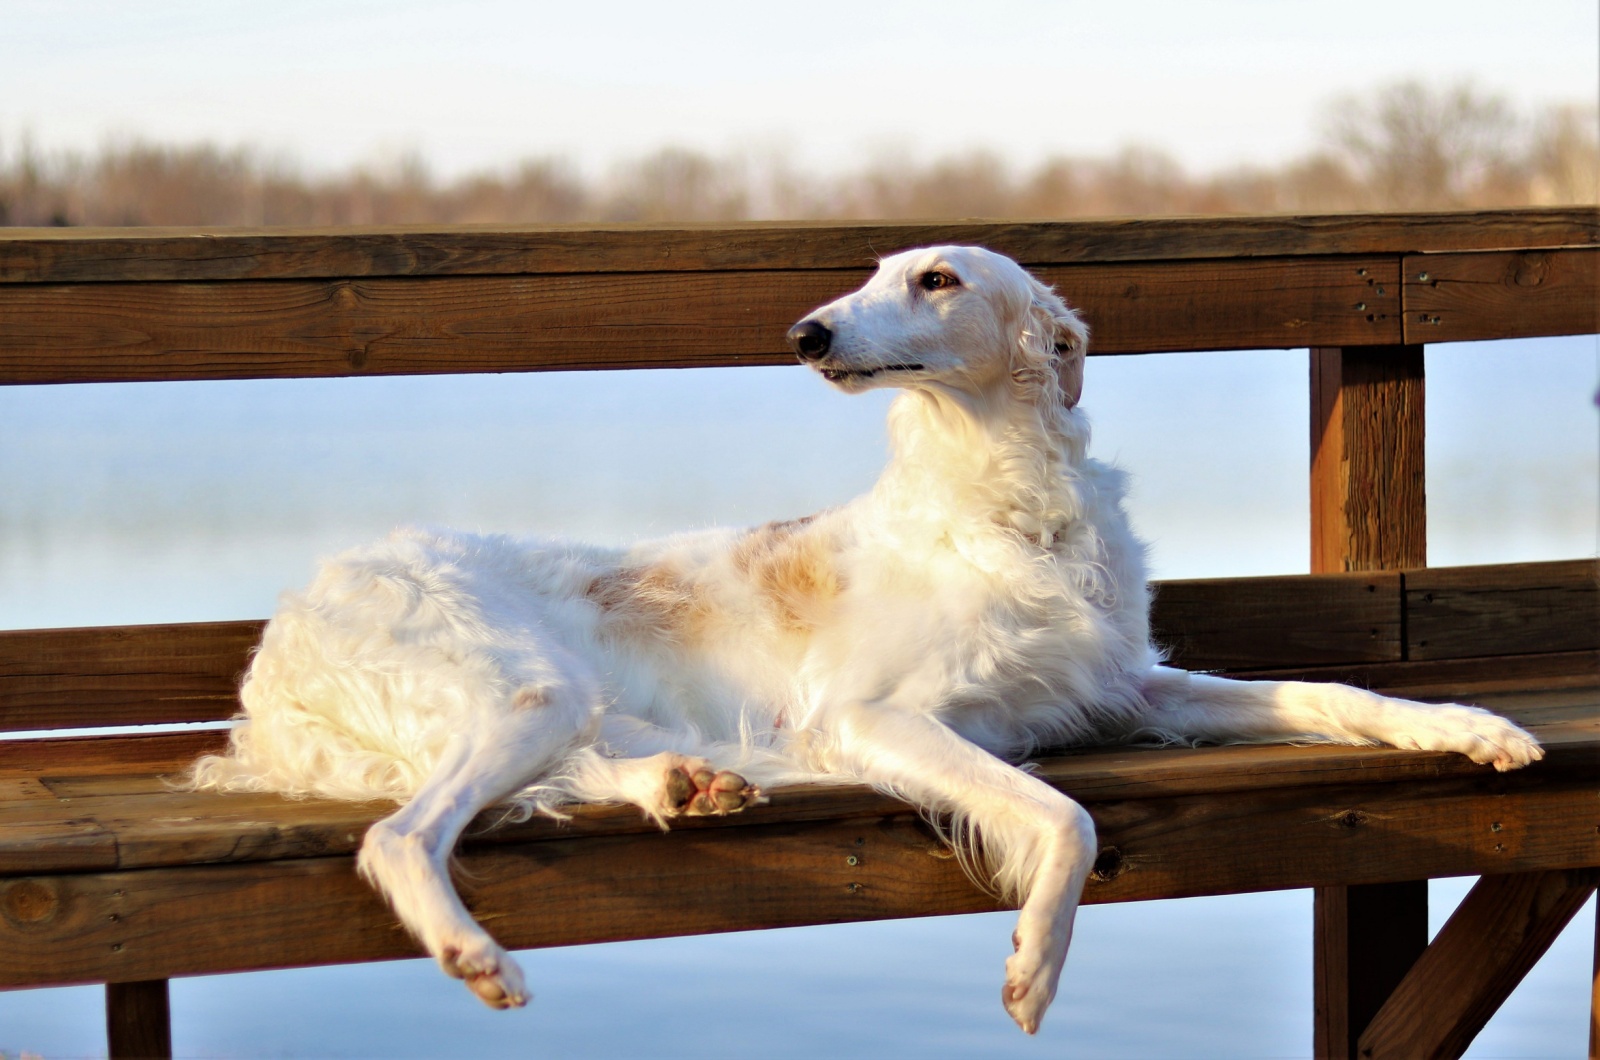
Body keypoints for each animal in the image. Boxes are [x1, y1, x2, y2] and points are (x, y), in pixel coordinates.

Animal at [190, 244, 1548, 1031]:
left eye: (937, 279)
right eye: (874, 274)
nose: (805, 332)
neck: (1002, 499)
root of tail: (284, 632)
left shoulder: (1123, 684)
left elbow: (1336, 692)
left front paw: (1473, 727)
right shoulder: (872, 715)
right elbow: (1065, 815)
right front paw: (1033, 962)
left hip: (564, 702)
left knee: (578, 768)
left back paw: (687, 781)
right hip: (520, 689)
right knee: (399, 833)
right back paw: (477, 953)